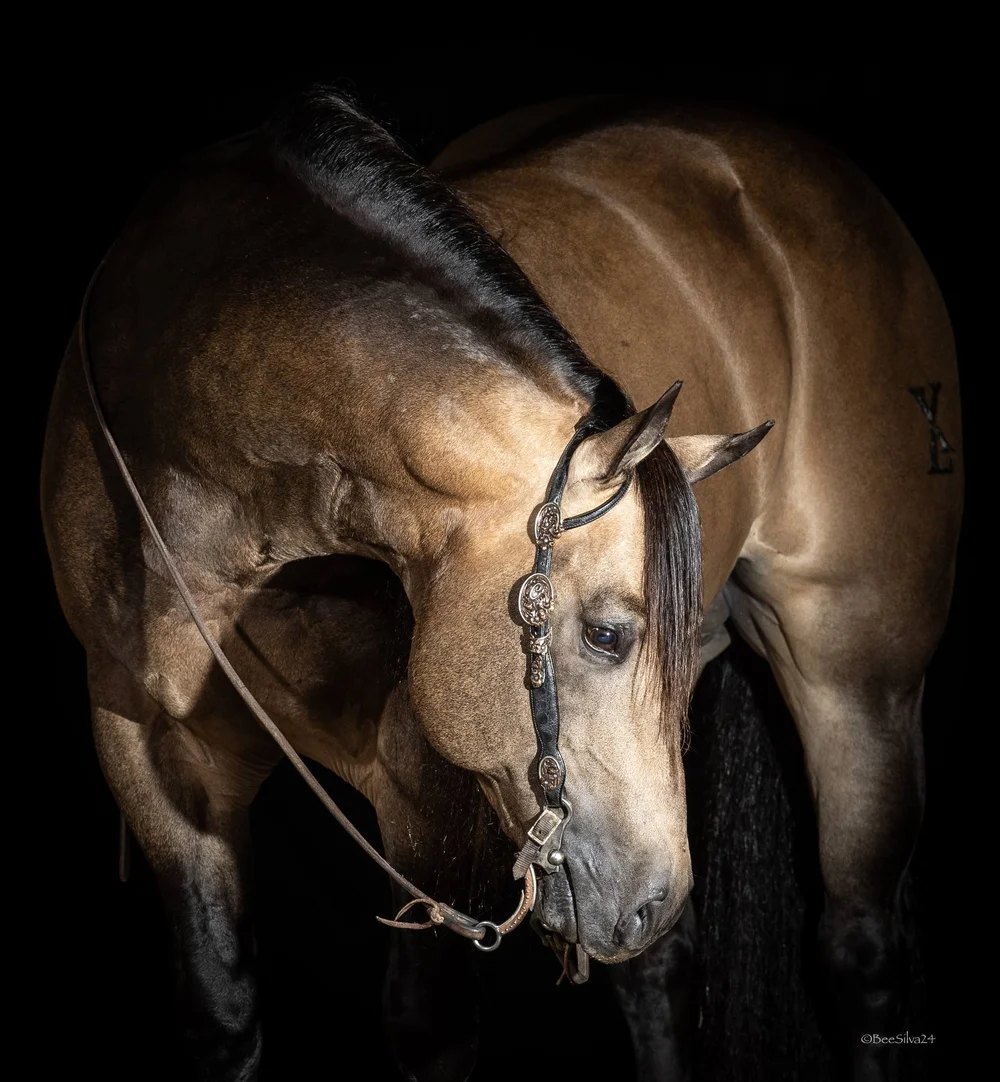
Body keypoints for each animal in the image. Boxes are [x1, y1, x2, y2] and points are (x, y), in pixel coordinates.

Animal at [41, 90, 961, 1081]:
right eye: (608, 635)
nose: (654, 896)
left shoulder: (420, 789)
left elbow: (429, 1025)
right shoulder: (156, 758)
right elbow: (221, 1016)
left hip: (859, 692)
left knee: (859, 950)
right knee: (660, 976)